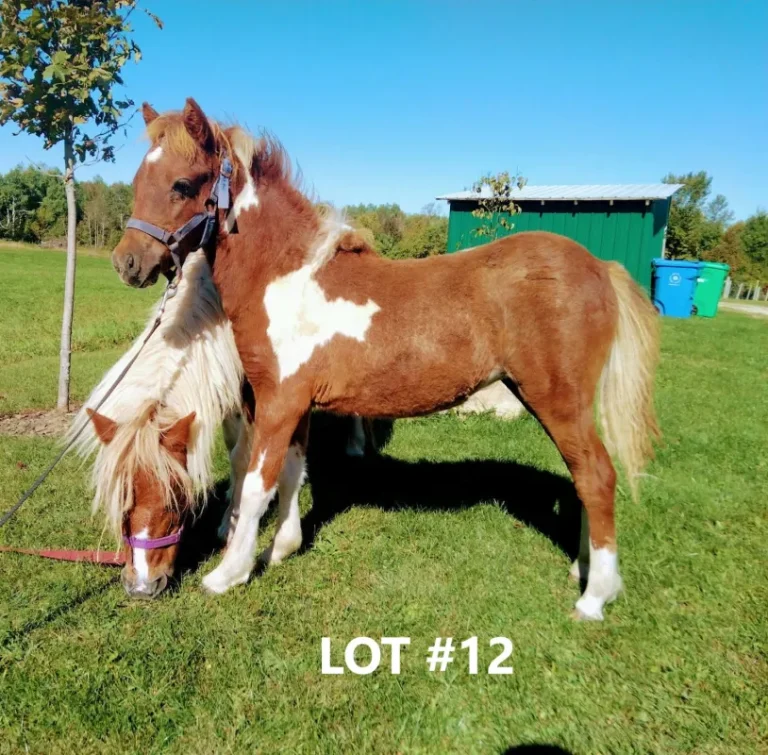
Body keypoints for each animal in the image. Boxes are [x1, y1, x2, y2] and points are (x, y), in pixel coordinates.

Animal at [111, 98, 660, 620]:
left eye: (182, 184)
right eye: (137, 181)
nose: (127, 263)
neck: (285, 278)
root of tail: (600, 266)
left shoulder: (277, 402)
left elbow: (254, 487)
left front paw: (229, 573)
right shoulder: (295, 405)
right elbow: (291, 474)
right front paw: (280, 550)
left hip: (557, 400)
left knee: (597, 476)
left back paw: (595, 597)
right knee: (584, 476)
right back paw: (582, 570)